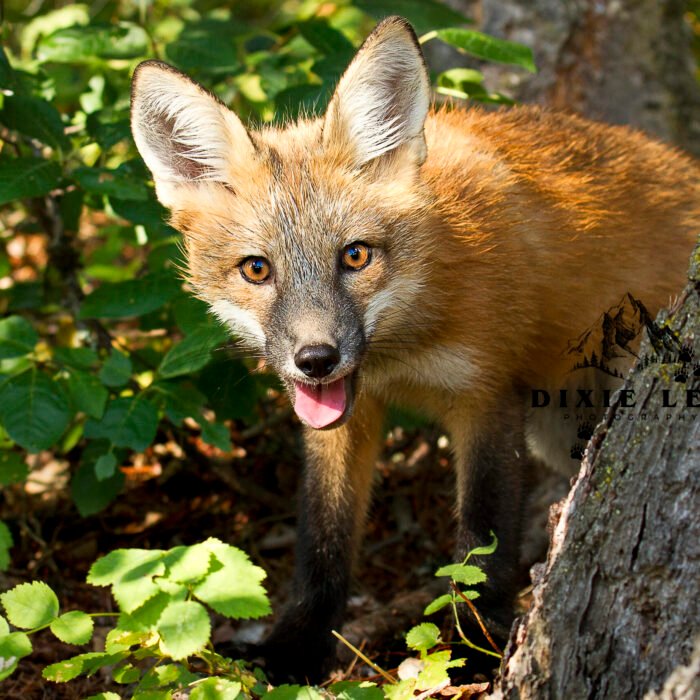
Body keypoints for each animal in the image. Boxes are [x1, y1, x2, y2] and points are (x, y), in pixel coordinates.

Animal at [130, 16, 700, 681]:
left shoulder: (488, 398)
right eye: (256, 269)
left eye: (355, 256)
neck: (402, 351)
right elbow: (323, 543)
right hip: (558, 431)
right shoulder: (343, 420)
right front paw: (295, 650)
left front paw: (473, 652)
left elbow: (483, 543)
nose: (316, 360)